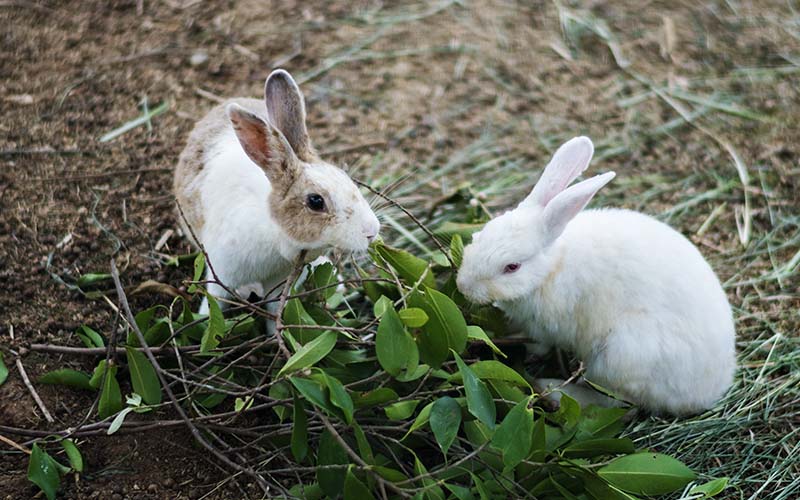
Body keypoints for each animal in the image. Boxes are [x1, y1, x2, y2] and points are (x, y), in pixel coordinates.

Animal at [173, 68, 380, 314]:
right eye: (316, 201)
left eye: (345, 177)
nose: (372, 231)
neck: (275, 233)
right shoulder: (222, 274)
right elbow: (213, 305)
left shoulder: (280, 284)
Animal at [456, 137, 736, 414]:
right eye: (480, 234)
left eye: (512, 267)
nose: (462, 286)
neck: (552, 266)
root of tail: (709, 393)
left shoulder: (545, 328)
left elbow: (540, 344)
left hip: (619, 356)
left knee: (619, 404)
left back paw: (552, 390)